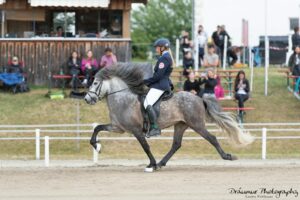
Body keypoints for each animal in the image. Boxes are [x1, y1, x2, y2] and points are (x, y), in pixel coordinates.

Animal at [84, 63, 253, 172]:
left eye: (96, 83)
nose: (87, 99)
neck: (123, 99)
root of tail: (199, 98)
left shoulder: (135, 130)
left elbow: (145, 146)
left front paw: (151, 164)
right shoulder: (118, 127)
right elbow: (97, 128)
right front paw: (97, 146)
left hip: (197, 124)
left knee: (212, 138)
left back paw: (227, 156)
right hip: (180, 124)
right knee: (176, 144)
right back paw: (161, 163)